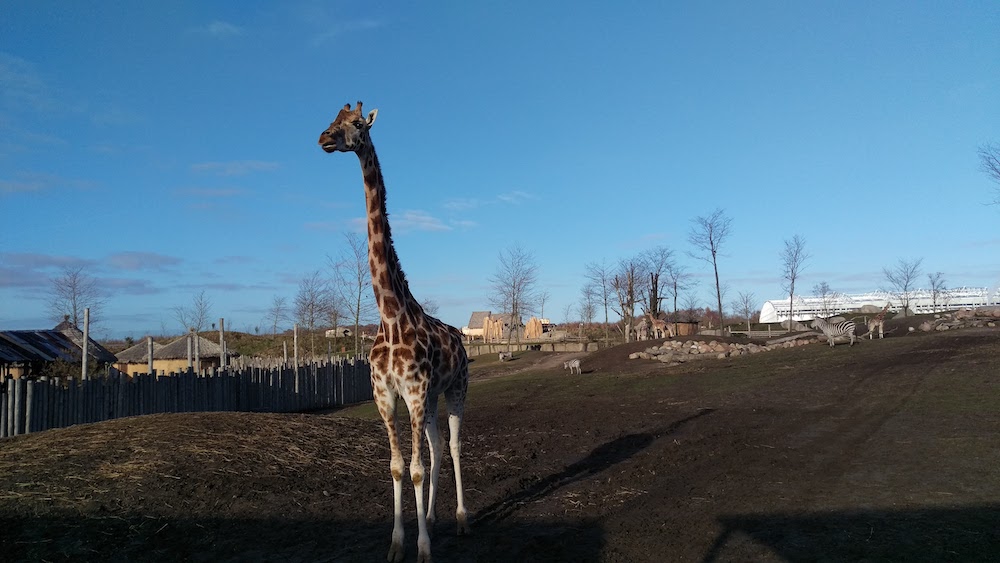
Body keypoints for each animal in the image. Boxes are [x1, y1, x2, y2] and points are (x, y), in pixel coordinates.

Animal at [318, 102, 470, 563]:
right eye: (332, 120)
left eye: (356, 124)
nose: (324, 139)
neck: (390, 316)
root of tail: (462, 340)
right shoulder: (386, 396)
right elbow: (400, 467)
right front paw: (397, 543)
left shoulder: (415, 393)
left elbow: (416, 469)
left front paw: (422, 549)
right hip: (434, 398)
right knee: (436, 449)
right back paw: (435, 520)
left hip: (455, 389)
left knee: (453, 447)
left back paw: (461, 520)